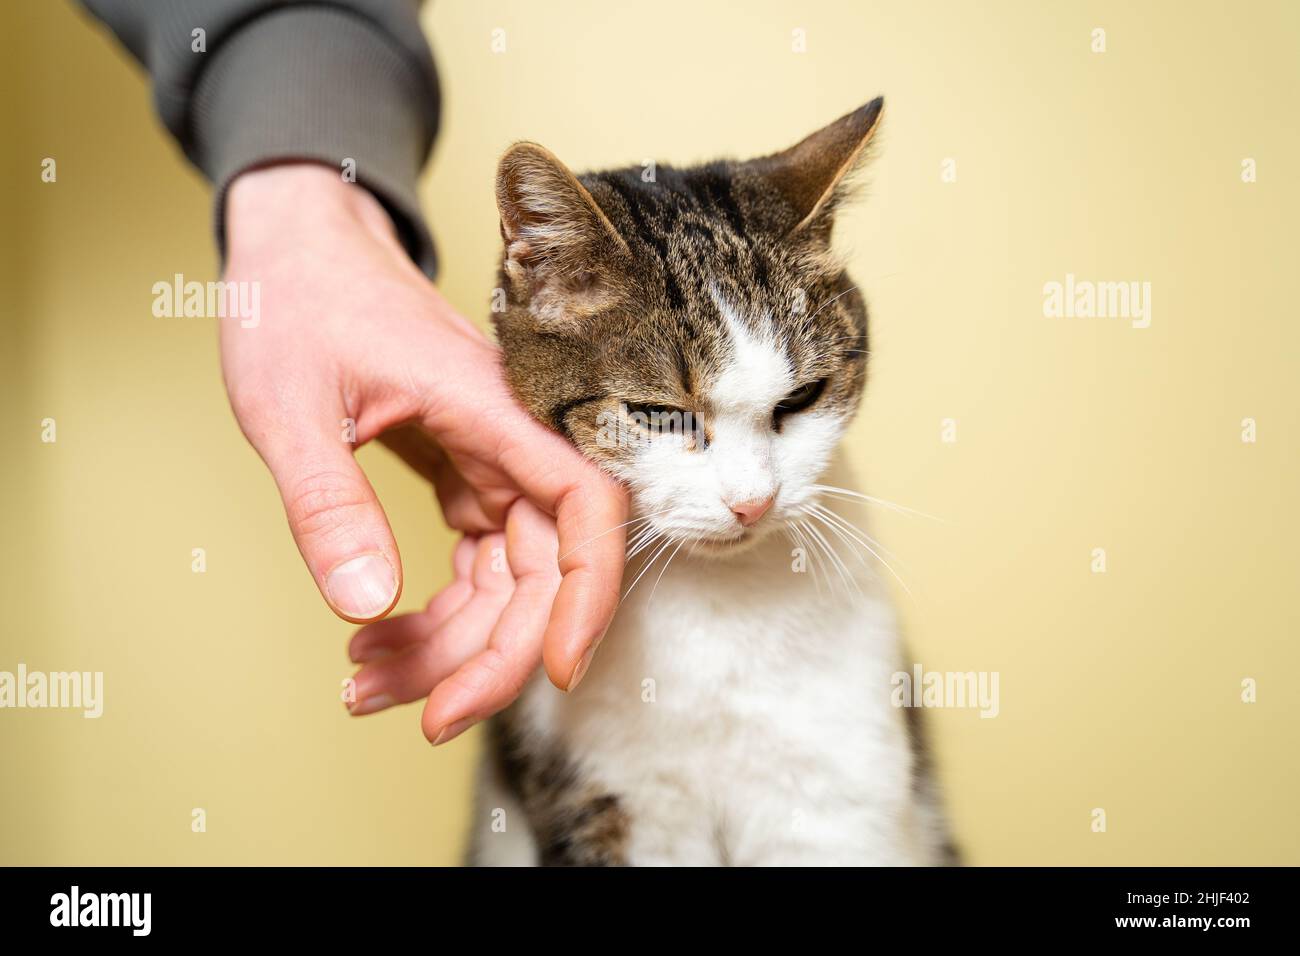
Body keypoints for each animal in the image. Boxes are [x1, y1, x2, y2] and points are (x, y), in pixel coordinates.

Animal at [467, 98, 956, 868]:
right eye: (659, 415)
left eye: (802, 398)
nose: (753, 501)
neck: (718, 613)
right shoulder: (613, 793)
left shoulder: (836, 787)